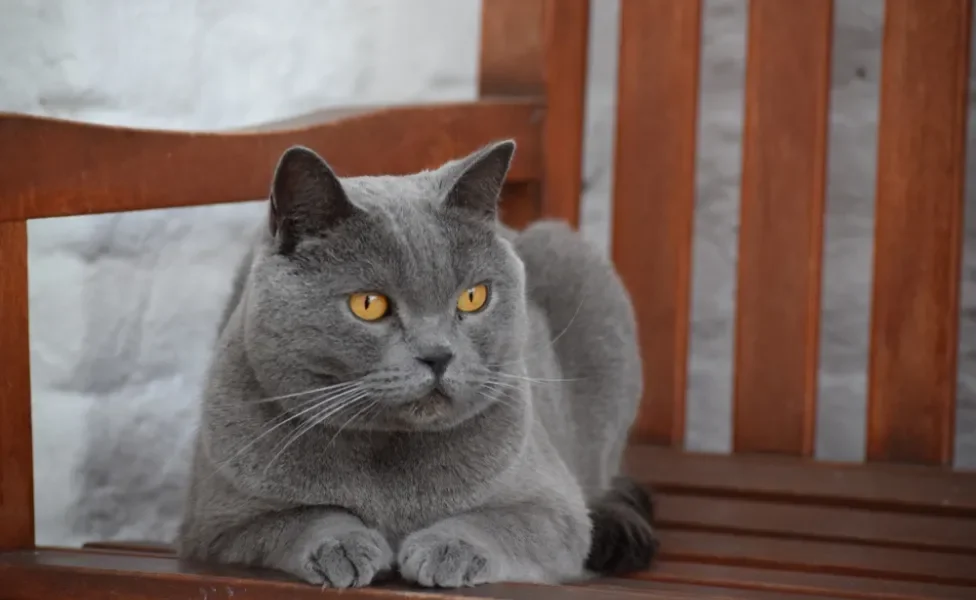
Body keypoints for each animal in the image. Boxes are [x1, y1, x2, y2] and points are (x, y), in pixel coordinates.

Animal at [180, 141, 660, 584]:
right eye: (369, 304)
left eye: (474, 297)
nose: (438, 354)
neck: (388, 459)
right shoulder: (214, 523)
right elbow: (300, 518)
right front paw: (342, 546)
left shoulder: (554, 509)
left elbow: (500, 523)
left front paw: (448, 550)